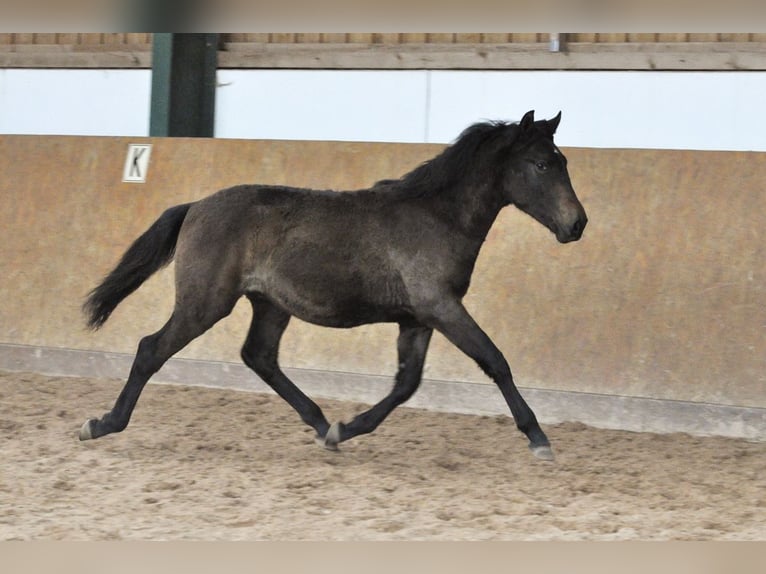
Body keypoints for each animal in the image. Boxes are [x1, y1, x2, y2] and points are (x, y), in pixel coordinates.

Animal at [81, 110, 592, 464]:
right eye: (542, 164)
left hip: (270, 304)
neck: (436, 216)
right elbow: (495, 361)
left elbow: (407, 384)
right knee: (152, 349)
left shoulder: (418, 318)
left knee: (259, 356)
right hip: (205, 303)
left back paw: (321, 423)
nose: (577, 224)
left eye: (562, 161)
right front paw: (538, 438)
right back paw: (102, 424)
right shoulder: (442, 308)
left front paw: (345, 429)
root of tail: (195, 207)